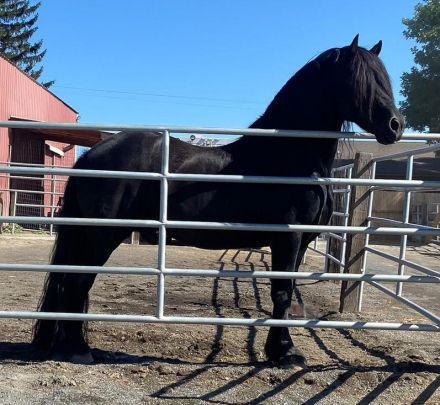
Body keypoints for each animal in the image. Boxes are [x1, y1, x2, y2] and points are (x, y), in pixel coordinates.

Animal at [33, 37, 406, 366]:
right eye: (361, 80)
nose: (395, 125)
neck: (289, 155)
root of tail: (91, 156)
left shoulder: (299, 243)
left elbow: (285, 293)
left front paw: (280, 351)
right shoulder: (287, 238)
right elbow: (281, 294)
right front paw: (285, 354)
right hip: (103, 234)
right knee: (77, 282)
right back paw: (77, 350)